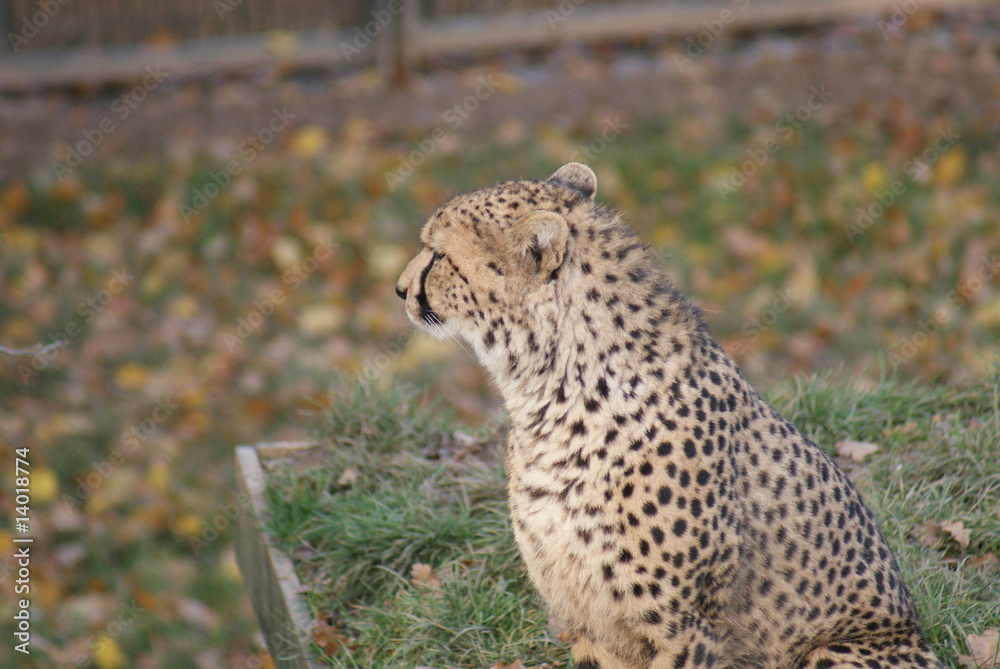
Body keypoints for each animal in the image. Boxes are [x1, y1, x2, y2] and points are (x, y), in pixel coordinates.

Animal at [395, 162, 942, 669]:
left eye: (438, 255)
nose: (400, 290)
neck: (551, 388)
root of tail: (920, 635)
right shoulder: (583, 617)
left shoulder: (687, 628)